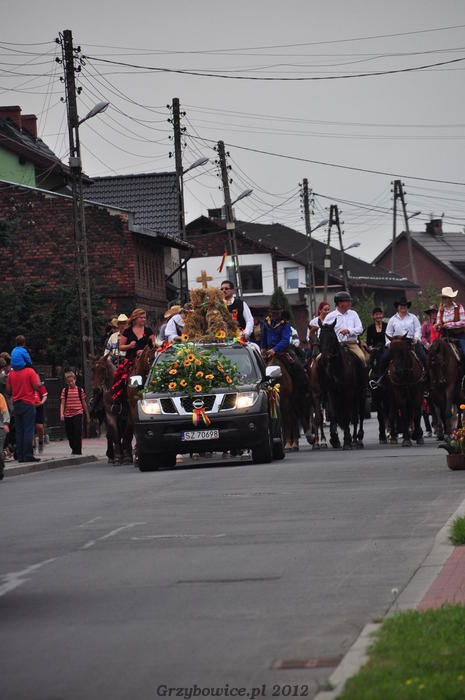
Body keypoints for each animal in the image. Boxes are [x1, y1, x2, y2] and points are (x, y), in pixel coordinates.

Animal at [317, 320, 365, 450]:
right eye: (320, 337)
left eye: (332, 337)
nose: (325, 358)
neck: (338, 368)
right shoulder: (332, 393)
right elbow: (334, 414)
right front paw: (338, 439)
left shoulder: (348, 393)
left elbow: (348, 417)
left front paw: (347, 441)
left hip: (359, 393)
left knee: (359, 415)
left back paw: (358, 439)